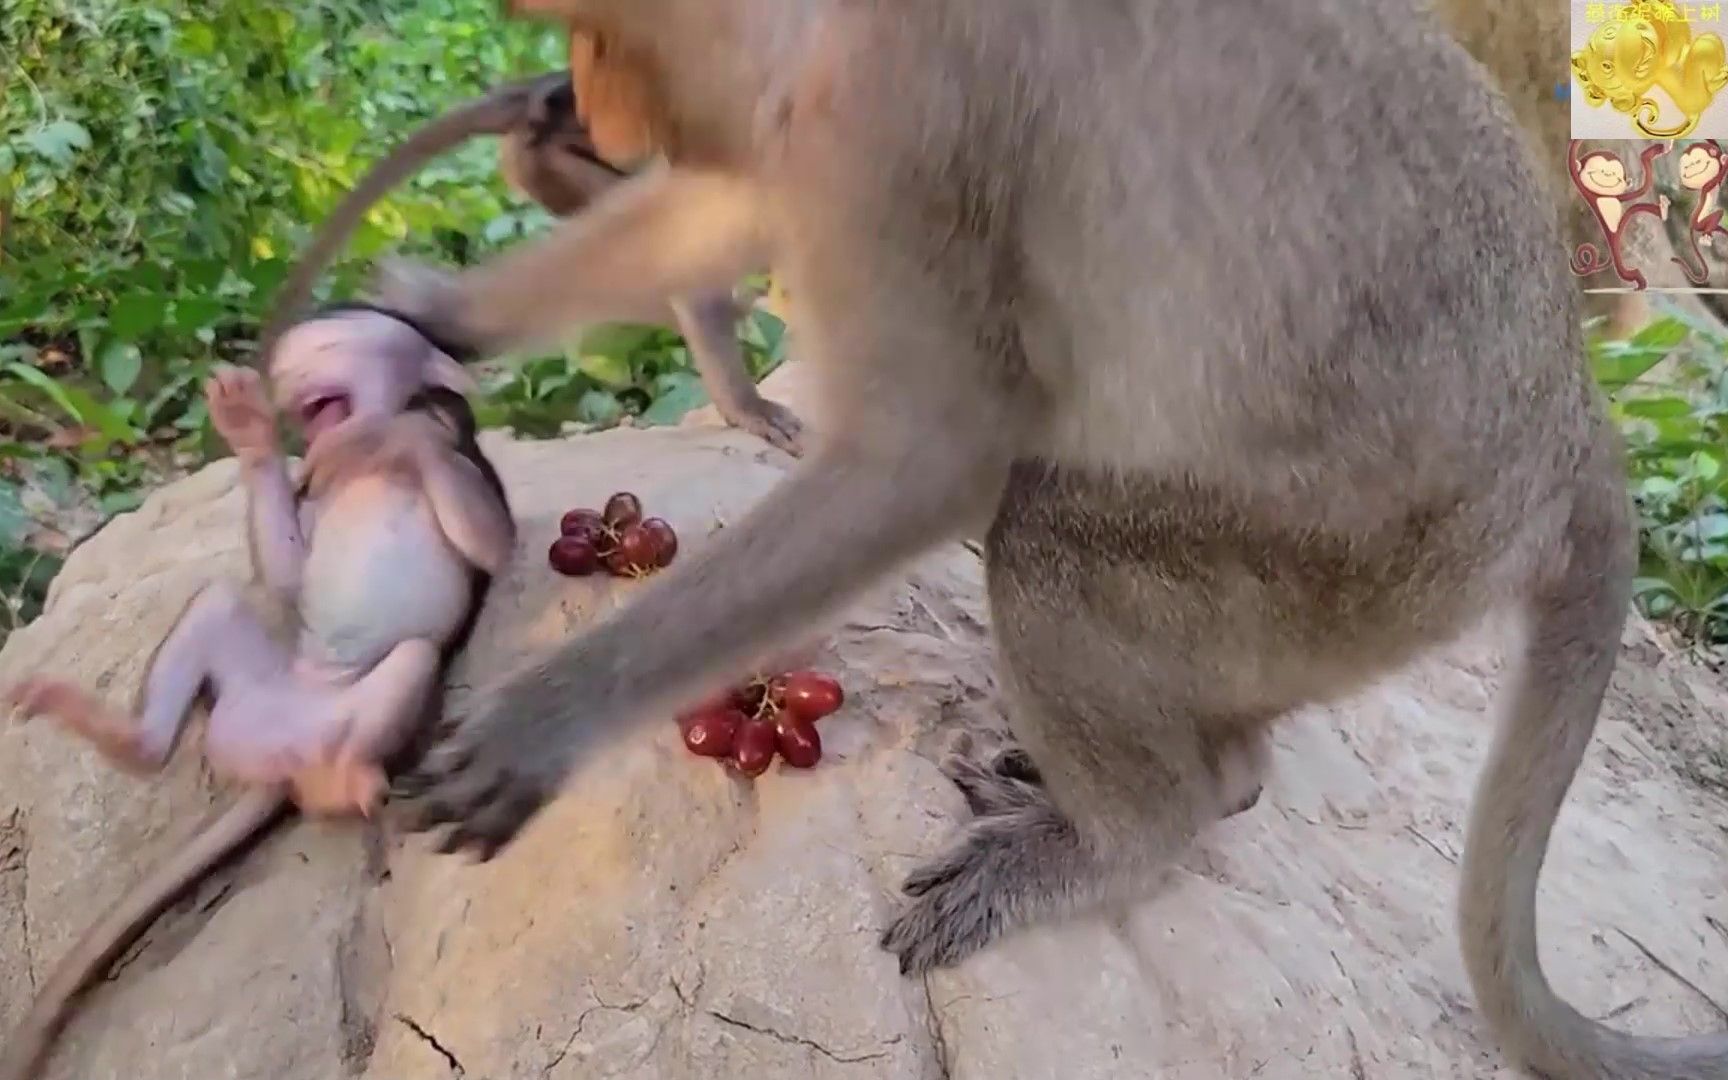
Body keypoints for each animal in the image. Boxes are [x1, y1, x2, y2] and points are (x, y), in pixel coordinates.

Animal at [0, 309, 511, 1078]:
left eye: (336, 341)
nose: (289, 361)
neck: (365, 459)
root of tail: (279, 754)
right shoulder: (318, 482)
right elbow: (290, 575)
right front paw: (248, 428)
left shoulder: (459, 450)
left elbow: (490, 543)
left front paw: (406, 433)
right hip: (243, 706)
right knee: (219, 605)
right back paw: (130, 738)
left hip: (345, 715)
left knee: (412, 660)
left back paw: (347, 783)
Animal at [378, 2, 1728, 1078]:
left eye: (604, 37)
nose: (587, 98)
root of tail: (1573, 423)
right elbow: (725, 211)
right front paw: (433, 313)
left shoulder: (904, 109)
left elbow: (926, 458)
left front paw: (542, 723)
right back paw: (1205, 775)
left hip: (1372, 563)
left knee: (1051, 540)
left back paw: (1127, 837)